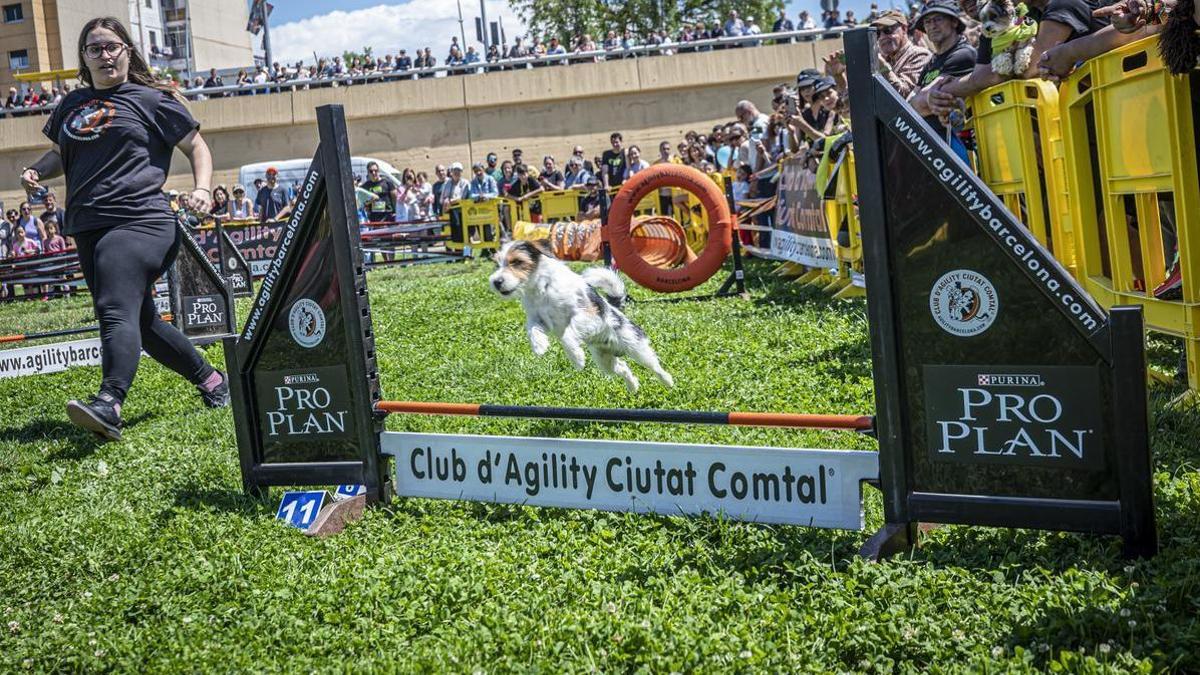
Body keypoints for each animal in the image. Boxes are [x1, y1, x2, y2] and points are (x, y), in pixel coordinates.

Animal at [489, 240, 676, 389]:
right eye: (497, 264)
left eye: (517, 261)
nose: (496, 282)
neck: (541, 287)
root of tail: (616, 308)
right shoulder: (538, 318)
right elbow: (532, 329)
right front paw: (539, 346)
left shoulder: (588, 314)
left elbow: (567, 334)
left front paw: (576, 358)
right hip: (604, 360)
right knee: (622, 367)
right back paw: (633, 386)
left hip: (636, 347)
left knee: (655, 366)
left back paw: (668, 382)